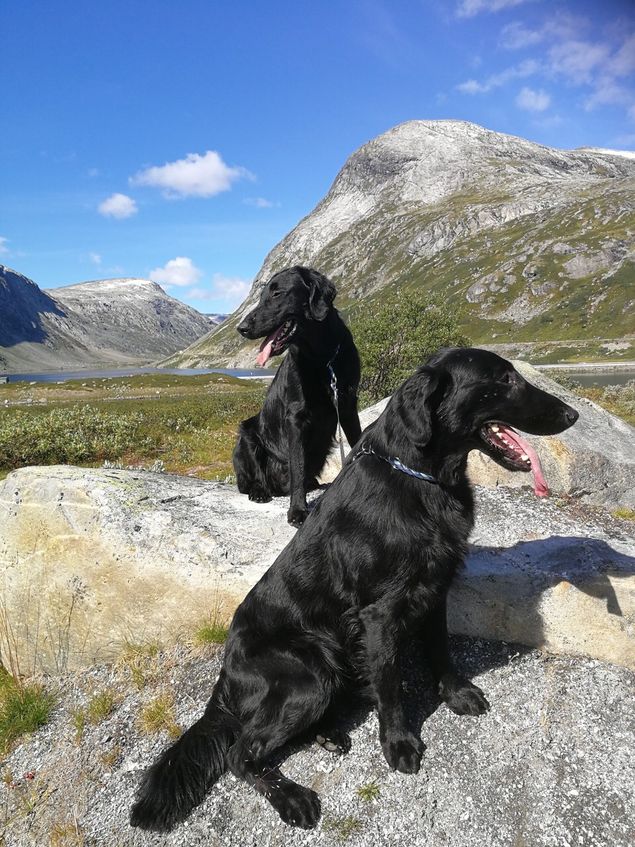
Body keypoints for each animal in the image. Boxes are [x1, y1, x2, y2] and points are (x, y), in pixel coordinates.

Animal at [130, 346, 580, 836]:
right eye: (503, 379)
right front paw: (399, 743)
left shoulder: (436, 587)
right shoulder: (379, 614)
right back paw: (292, 797)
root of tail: (225, 677)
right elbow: (390, 682)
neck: (420, 478)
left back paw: (328, 734)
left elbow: (441, 649)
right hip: (311, 675)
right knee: (239, 754)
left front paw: (456, 693)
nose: (573, 414)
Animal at [234, 268, 362, 528]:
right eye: (261, 296)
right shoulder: (296, 417)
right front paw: (298, 510)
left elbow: (358, 442)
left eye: (277, 293)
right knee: (250, 479)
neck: (322, 359)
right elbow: (298, 466)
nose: (241, 328)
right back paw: (259, 491)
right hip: (246, 436)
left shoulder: (347, 405)